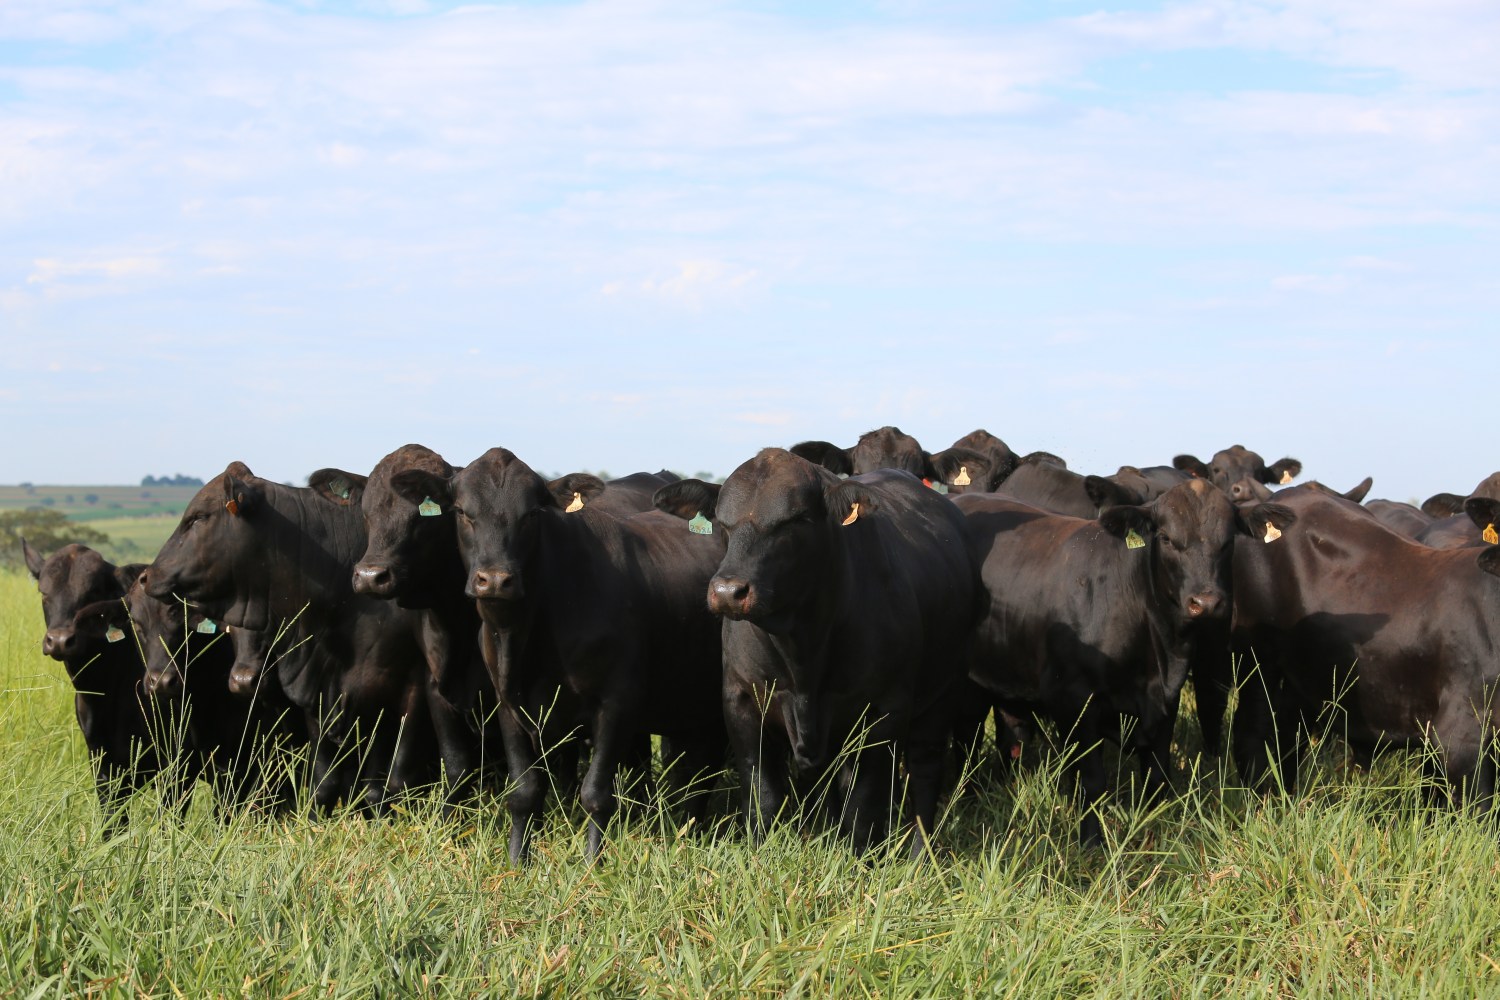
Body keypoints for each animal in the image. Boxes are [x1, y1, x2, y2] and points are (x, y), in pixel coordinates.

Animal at [393, 449, 726, 863]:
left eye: (531, 514)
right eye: (462, 512)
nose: (495, 580)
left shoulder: (617, 703)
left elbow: (596, 793)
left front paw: (592, 863)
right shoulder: (508, 705)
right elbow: (525, 792)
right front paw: (517, 861)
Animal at [654, 449, 978, 857]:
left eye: (794, 520)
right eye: (722, 523)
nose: (728, 591)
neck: (803, 651)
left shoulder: (884, 711)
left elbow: (864, 805)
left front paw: (858, 859)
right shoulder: (741, 702)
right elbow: (764, 797)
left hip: (942, 694)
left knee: (924, 771)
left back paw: (922, 855)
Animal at [960, 479, 1302, 845]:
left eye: (1228, 541)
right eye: (1165, 538)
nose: (1206, 602)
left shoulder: (1166, 702)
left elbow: (1157, 776)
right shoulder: (1073, 700)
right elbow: (1092, 781)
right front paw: (1091, 842)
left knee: (1012, 737)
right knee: (967, 743)